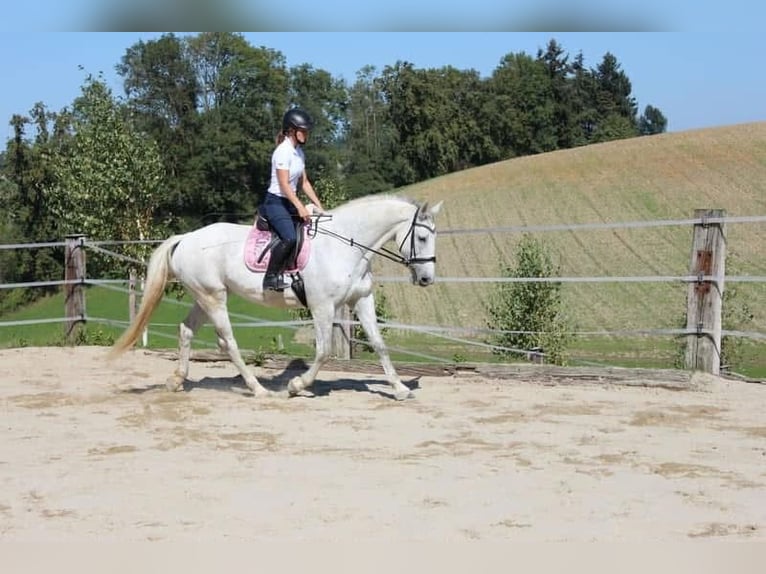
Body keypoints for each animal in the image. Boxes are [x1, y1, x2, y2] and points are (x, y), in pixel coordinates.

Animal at [108, 196, 444, 402]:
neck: (347, 246)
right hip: (214, 298)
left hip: (203, 296)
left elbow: (379, 344)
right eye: (422, 237)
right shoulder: (322, 307)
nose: (427, 279)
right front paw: (296, 386)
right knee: (228, 341)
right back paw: (257, 389)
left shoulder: (361, 301)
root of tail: (185, 238)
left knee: (186, 330)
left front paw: (399, 389)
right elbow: (323, 352)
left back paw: (177, 380)